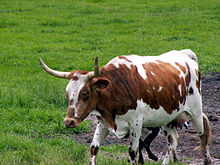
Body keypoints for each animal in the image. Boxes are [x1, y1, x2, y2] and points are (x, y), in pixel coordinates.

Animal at [39, 49, 211, 165]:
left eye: (85, 93)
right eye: (67, 93)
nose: (69, 121)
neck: (115, 87)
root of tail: (185, 55)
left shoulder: (136, 124)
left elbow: (133, 152)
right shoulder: (103, 123)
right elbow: (94, 148)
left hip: (195, 111)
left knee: (203, 135)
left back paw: (207, 159)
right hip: (167, 118)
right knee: (173, 141)